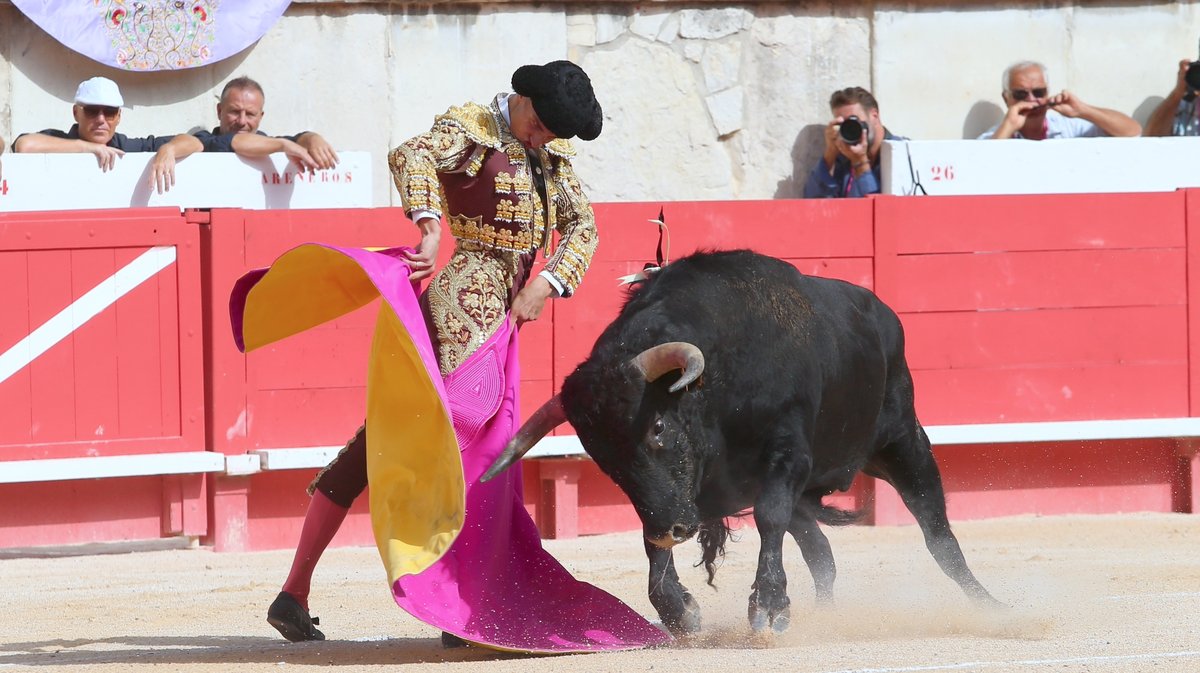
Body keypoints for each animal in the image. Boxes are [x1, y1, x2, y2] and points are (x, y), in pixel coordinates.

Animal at [482, 249, 998, 633]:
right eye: (601, 455)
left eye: (657, 427)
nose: (670, 529)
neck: (714, 384)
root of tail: (885, 315)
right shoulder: (676, 499)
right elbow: (656, 545)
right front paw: (680, 611)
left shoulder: (787, 455)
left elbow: (769, 518)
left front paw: (768, 607)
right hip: (810, 493)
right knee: (822, 554)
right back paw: (825, 616)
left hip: (904, 443)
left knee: (939, 537)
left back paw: (991, 605)